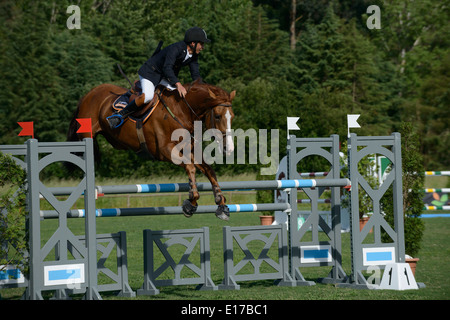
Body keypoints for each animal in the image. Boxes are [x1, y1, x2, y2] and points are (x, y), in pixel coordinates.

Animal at [67, 79, 236, 220]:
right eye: (218, 116)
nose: (228, 148)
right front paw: (191, 202)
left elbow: (208, 170)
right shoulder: (165, 151)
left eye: (232, 117)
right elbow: (190, 167)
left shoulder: (191, 151)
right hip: (86, 133)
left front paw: (221, 204)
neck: (181, 110)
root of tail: (90, 93)